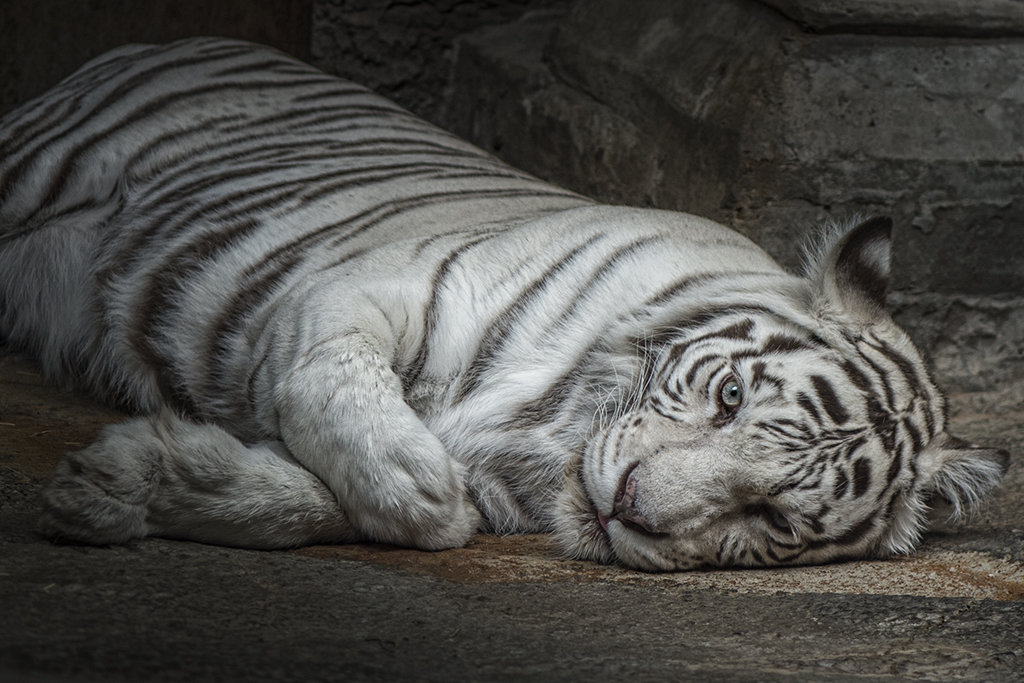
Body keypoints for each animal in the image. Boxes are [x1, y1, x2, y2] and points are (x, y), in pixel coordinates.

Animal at [0, 37, 1007, 573]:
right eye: (729, 399)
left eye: (773, 519)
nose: (628, 507)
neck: (546, 435)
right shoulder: (364, 288)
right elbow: (340, 392)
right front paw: (416, 481)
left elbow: (305, 500)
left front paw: (118, 483)